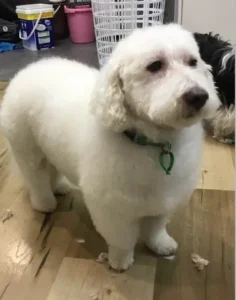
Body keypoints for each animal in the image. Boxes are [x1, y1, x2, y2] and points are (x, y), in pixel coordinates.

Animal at [0, 24, 219, 272]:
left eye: (193, 62)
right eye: (155, 66)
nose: (198, 96)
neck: (153, 143)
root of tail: (28, 69)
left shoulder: (165, 198)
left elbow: (155, 228)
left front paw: (161, 245)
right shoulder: (112, 207)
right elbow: (122, 239)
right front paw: (120, 261)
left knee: (52, 169)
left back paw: (60, 187)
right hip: (27, 149)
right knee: (35, 178)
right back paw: (44, 203)